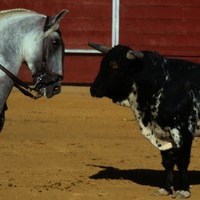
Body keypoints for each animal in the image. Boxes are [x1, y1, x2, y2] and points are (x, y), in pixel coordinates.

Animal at [88, 41, 200, 198]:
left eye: (115, 66)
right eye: (102, 63)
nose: (93, 90)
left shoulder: (183, 132)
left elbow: (182, 161)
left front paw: (183, 190)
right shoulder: (161, 132)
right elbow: (167, 161)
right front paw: (165, 188)